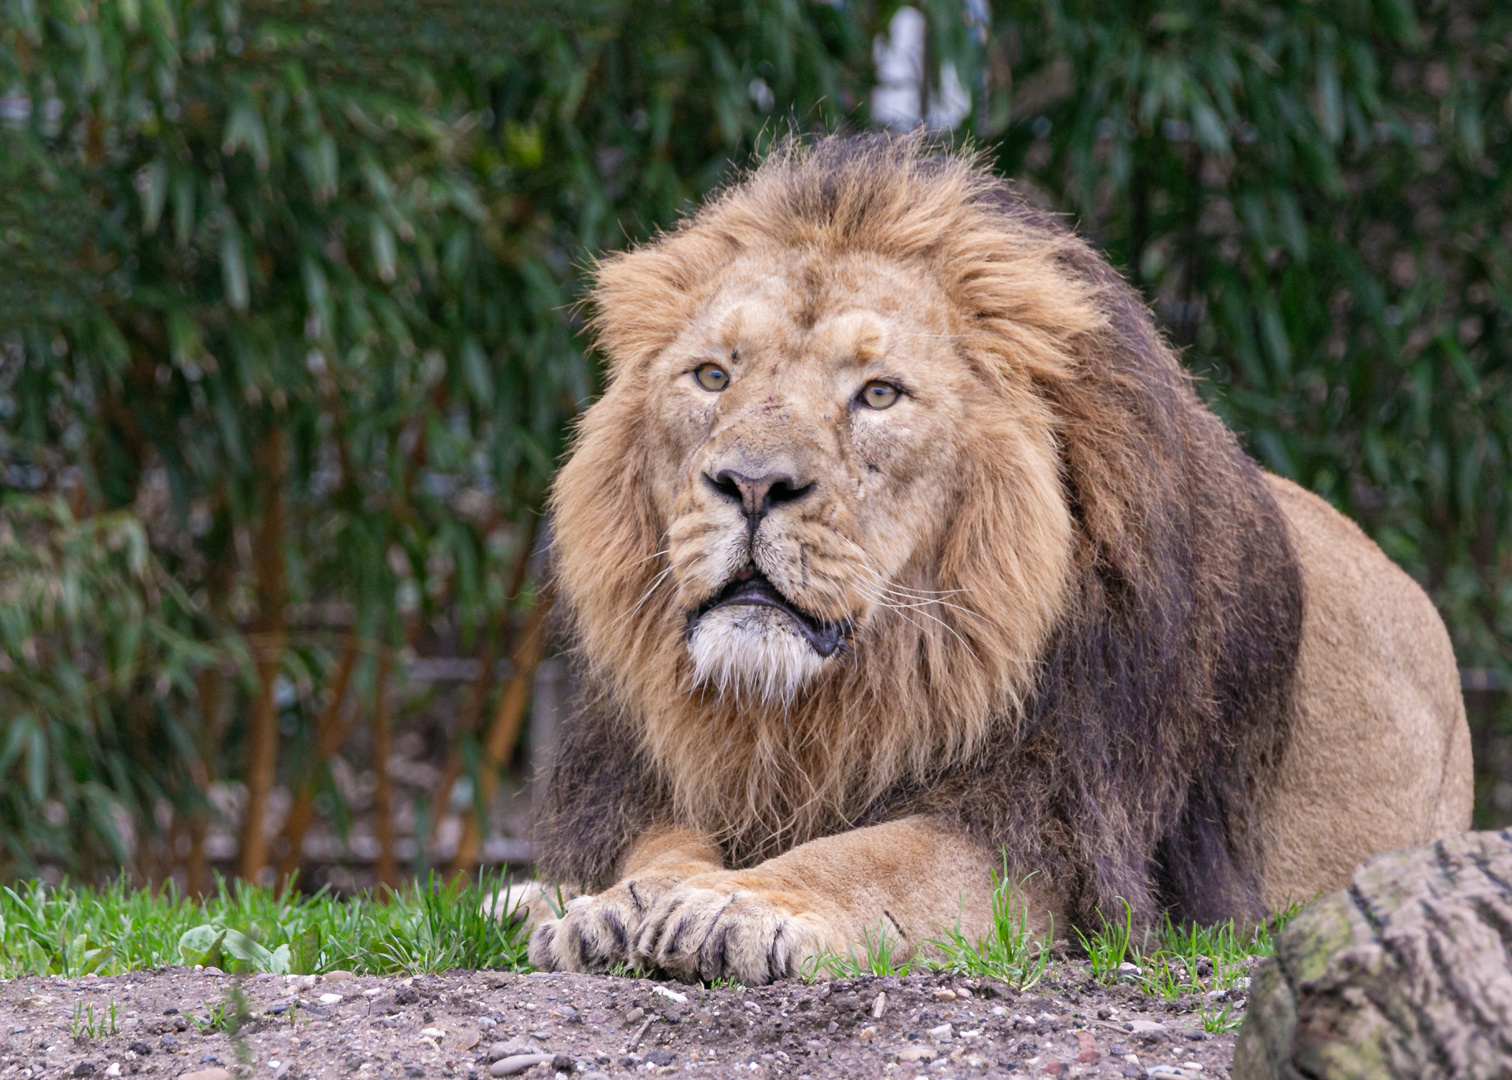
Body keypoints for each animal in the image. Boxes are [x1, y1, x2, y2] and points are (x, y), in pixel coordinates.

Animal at [517, 134, 1463, 986]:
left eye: (879, 395)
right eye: (712, 377)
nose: (751, 484)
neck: (814, 709)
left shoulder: (1054, 835)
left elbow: (874, 857)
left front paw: (738, 903)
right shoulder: (645, 778)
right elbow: (662, 845)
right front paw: (622, 904)